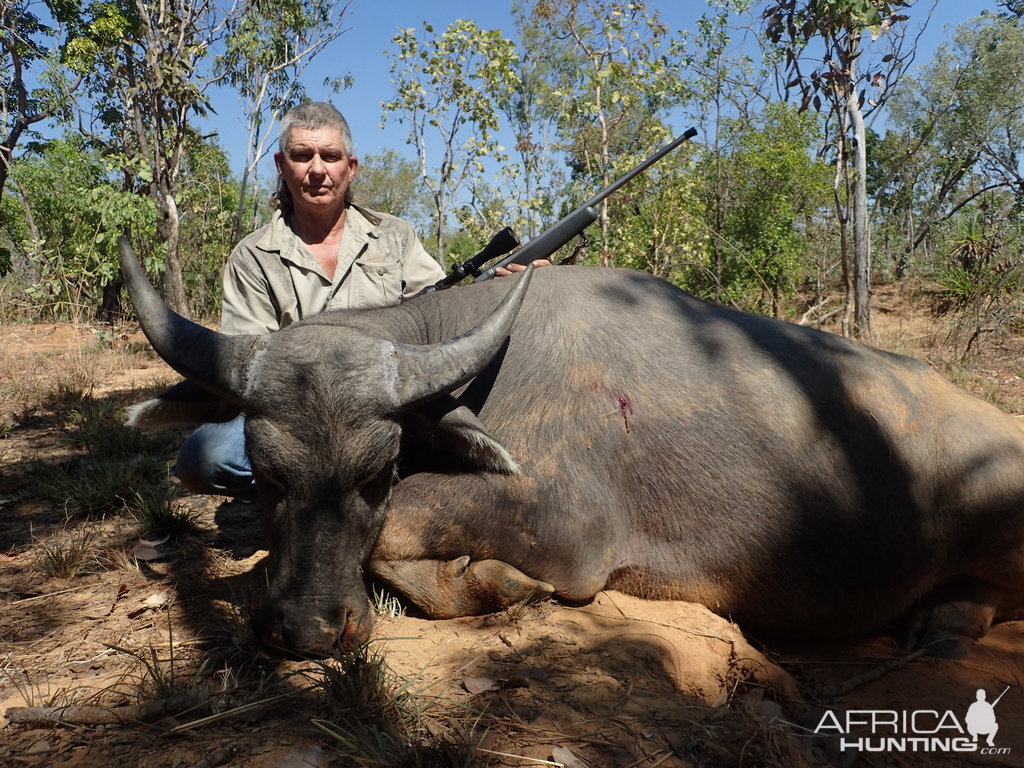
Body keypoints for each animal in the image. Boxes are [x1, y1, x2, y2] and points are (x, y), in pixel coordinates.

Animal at [117, 237, 1024, 659]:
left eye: (375, 473)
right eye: (268, 475)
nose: (305, 632)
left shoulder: (569, 530)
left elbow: (405, 531)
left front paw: (495, 581)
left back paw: (946, 622)